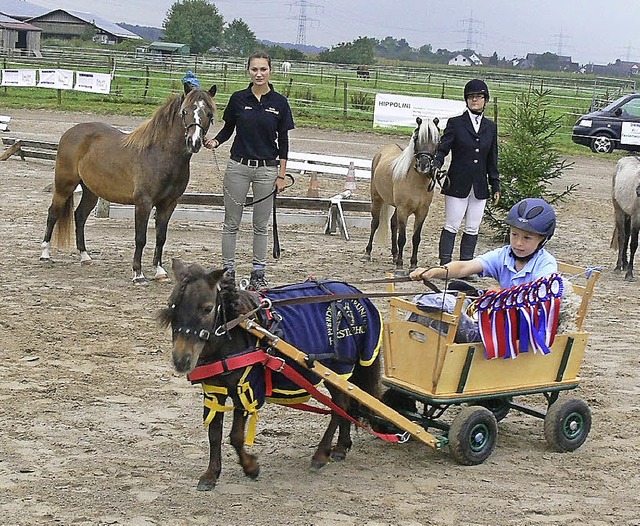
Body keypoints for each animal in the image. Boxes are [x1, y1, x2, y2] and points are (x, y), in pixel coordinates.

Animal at [38, 85, 218, 286]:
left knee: (80, 216)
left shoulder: (169, 204)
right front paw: (138, 274)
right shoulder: (143, 203)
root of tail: (71, 132)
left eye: (209, 114)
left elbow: (161, 237)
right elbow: (140, 238)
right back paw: (45, 254)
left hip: (91, 191)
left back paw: (85, 257)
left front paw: (160, 271)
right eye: (184, 111)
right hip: (65, 185)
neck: (160, 155)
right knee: (53, 213)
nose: (194, 142)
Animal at [158, 258, 382, 490]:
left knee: (340, 407)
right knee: (345, 405)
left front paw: (250, 467)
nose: (181, 360)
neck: (237, 331)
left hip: (338, 369)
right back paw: (340, 448)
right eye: (171, 305)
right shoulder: (214, 389)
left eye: (207, 308)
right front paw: (211, 474)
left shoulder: (246, 388)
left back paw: (321, 454)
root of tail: (354, 292)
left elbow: (236, 436)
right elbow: (214, 433)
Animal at [364, 116, 440, 272]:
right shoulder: (403, 210)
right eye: (417, 138)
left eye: (437, 140)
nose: (424, 165)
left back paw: (394, 255)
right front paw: (399, 265)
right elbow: (402, 238)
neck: (416, 182)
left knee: (393, 224)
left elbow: (416, 238)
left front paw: (413, 264)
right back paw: (368, 254)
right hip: (377, 199)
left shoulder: (422, 212)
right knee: (375, 223)